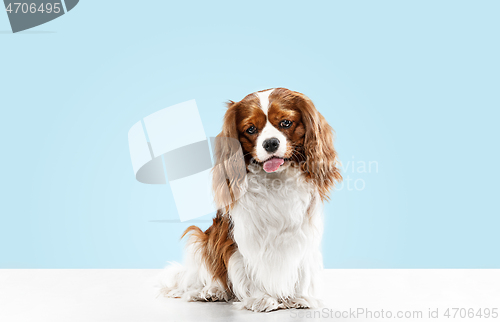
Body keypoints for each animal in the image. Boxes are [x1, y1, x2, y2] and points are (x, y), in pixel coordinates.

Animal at [158, 88, 342, 312]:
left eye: (286, 123)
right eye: (251, 129)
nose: (270, 143)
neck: (276, 181)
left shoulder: (305, 235)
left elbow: (302, 269)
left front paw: (299, 298)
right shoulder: (244, 238)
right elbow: (251, 268)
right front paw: (261, 298)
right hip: (201, 238)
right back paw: (211, 291)